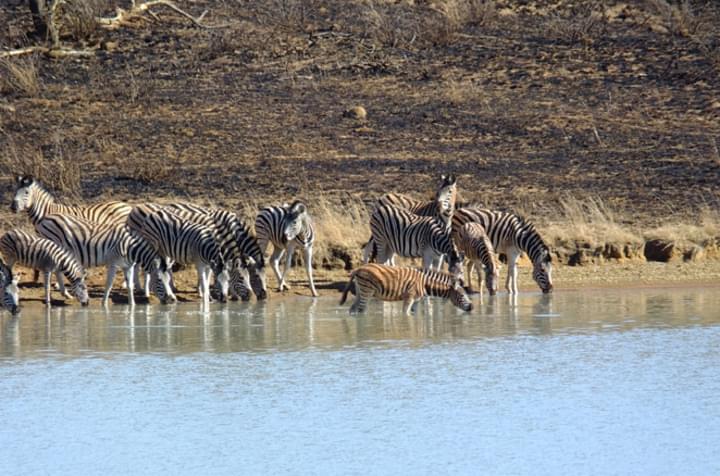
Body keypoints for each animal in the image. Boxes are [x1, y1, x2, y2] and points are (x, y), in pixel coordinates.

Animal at [35, 213, 172, 306]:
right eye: (159, 280)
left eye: (169, 280)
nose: (170, 300)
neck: (130, 247)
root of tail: (45, 218)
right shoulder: (113, 263)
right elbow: (109, 284)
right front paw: (104, 303)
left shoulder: (128, 266)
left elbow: (129, 286)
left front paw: (132, 305)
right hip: (53, 247)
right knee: (55, 271)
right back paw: (60, 293)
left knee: (58, 271)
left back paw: (66, 294)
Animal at [339, 263, 473, 315]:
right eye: (462, 296)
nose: (472, 307)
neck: (424, 283)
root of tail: (358, 269)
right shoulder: (409, 297)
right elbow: (405, 313)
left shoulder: (417, 300)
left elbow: (413, 313)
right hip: (367, 291)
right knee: (360, 309)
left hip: (360, 292)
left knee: (353, 309)